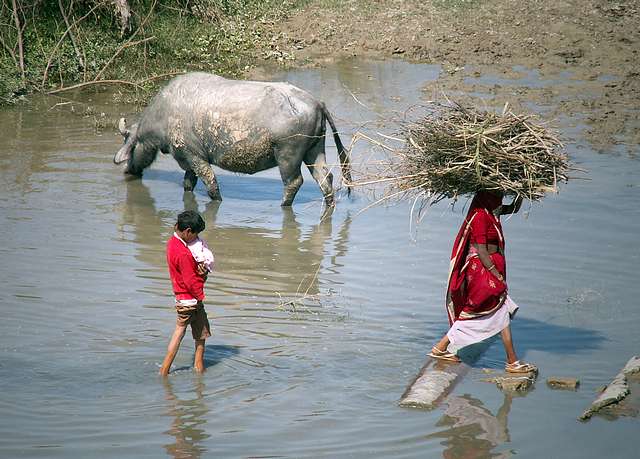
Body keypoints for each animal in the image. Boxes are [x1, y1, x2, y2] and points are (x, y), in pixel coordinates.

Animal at [116, 72, 356, 207]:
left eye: (130, 143)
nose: (127, 170)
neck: (165, 114)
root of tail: (316, 102)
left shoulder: (194, 156)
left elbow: (211, 183)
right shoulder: (189, 159)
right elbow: (188, 184)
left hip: (288, 155)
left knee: (294, 182)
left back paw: (283, 205)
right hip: (315, 149)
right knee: (325, 178)